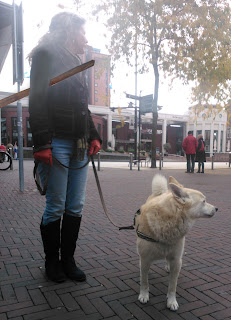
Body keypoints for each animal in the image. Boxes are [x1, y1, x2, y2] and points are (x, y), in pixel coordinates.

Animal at [135, 174, 217, 312]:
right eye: (204, 201)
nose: (217, 208)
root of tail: (160, 192)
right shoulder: (145, 258)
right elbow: (144, 281)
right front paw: (144, 295)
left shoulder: (177, 259)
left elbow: (172, 286)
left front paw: (172, 301)